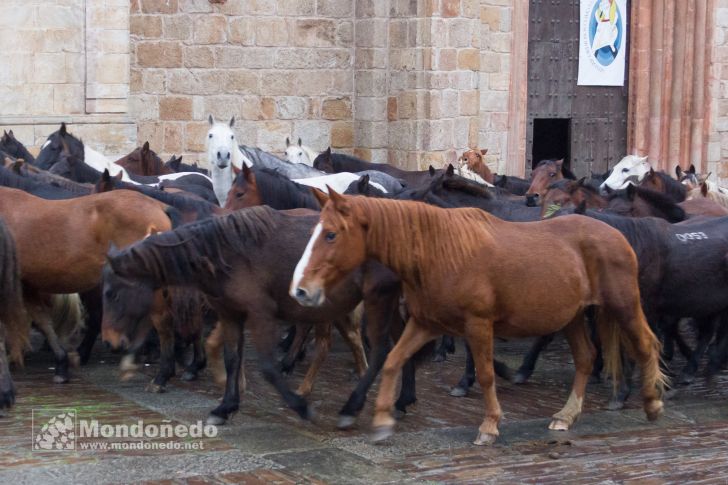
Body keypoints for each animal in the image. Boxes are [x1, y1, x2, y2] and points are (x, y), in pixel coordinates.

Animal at [292, 191, 664, 444]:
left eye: (331, 234)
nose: (301, 290)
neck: (439, 250)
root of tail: (616, 234)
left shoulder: (478, 325)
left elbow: (485, 375)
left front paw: (489, 425)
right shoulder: (425, 324)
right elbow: (394, 361)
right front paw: (382, 419)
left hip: (623, 305)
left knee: (646, 345)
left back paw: (652, 403)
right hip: (571, 316)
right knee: (586, 358)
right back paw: (566, 415)